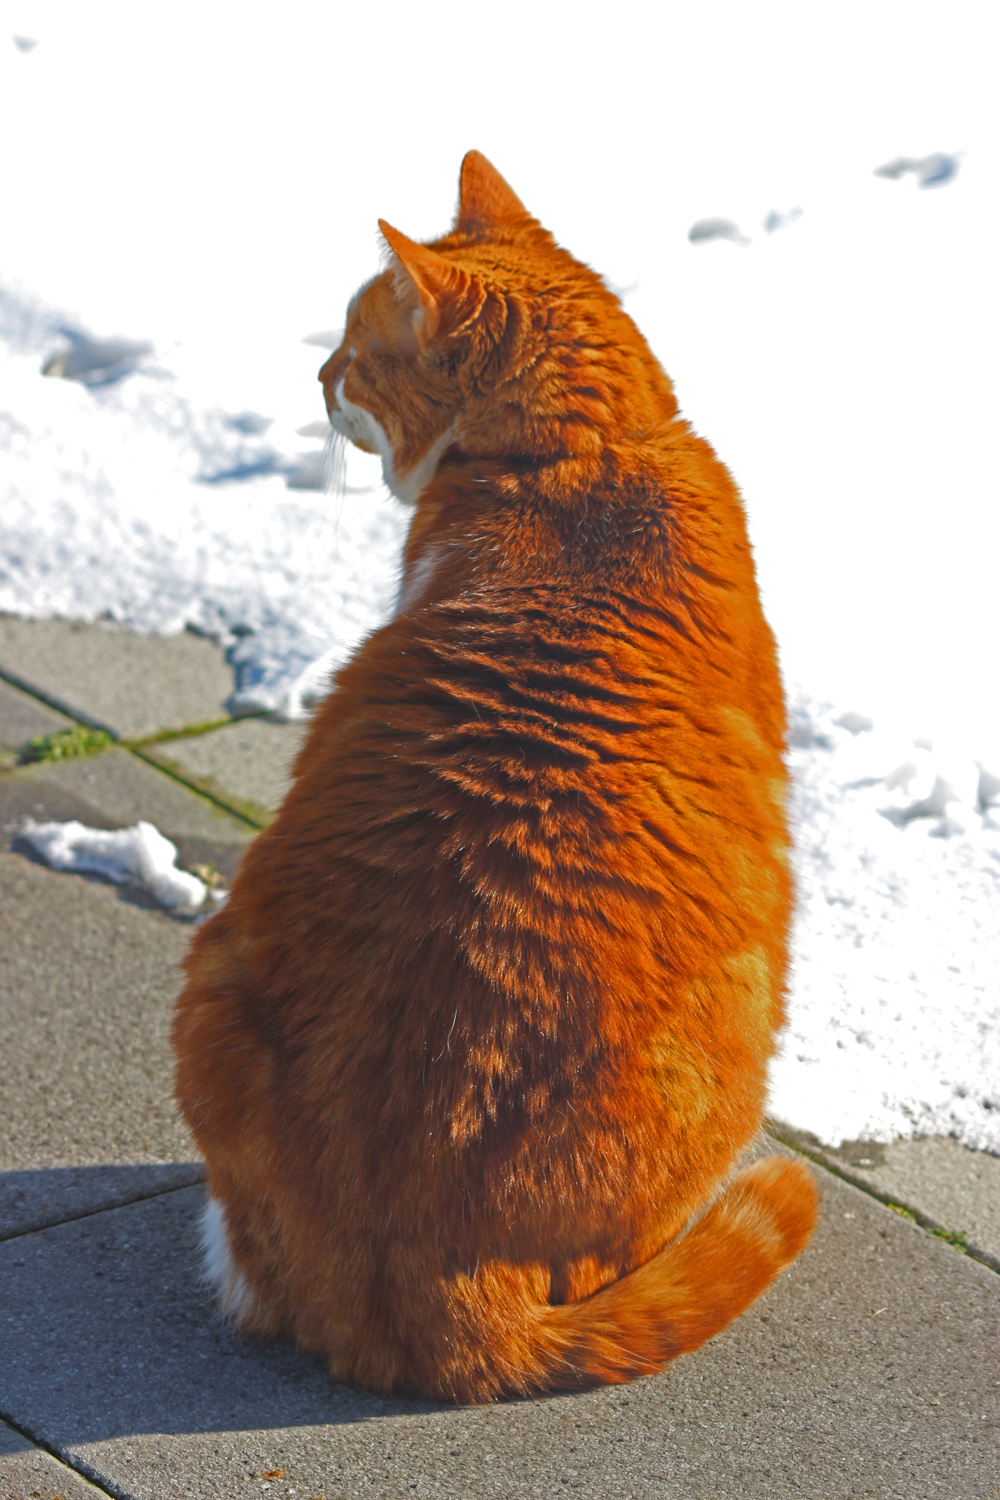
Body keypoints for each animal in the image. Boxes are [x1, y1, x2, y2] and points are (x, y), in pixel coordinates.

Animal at [173, 150, 817, 1404]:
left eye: (351, 347)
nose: (314, 373)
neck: (582, 451)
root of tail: (440, 1274)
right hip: (749, 1001)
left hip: (214, 977)